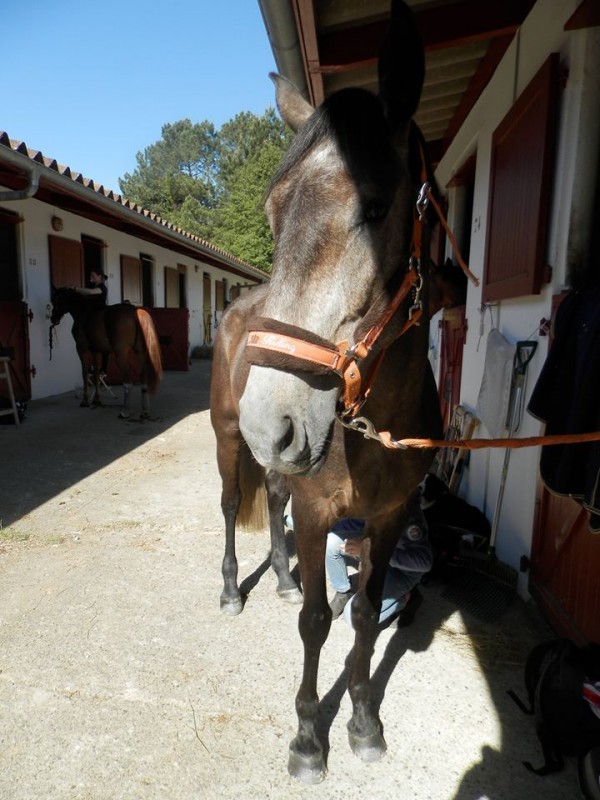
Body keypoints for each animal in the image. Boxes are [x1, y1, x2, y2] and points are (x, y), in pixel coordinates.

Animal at [51, 288, 162, 416]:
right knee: (143, 375)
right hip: (140, 351)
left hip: (121, 354)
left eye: (55, 300)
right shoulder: (96, 351)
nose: (53, 318)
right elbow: (96, 374)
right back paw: (144, 411)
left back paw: (125, 411)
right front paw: (96, 399)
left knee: (128, 378)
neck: (83, 312)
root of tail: (135, 311)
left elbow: (85, 373)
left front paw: (85, 400)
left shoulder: (81, 349)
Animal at [210, 0, 440, 784]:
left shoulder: (391, 517)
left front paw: (365, 721)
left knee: (274, 498)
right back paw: (233, 589)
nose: (272, 419)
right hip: (228, 442)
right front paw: (310, 737)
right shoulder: (318, 514)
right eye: (274, 214)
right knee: (233, 507)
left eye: (374, 206)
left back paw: (278, 577)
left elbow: (366, 615)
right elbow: (316, 621)